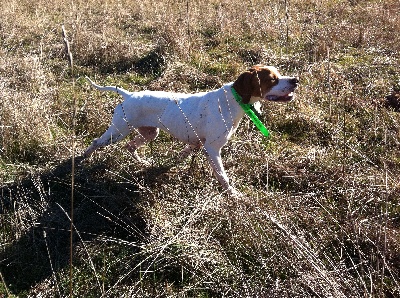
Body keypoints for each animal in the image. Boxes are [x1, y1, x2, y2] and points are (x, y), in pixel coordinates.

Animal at [83, 65, 296, 193]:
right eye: (272, 79)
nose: (296, 80)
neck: (232, 101)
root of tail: (129, 95)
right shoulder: (212, 149)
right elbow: (223, 176)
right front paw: (233, 195)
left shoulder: (197, 143)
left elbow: (182, 155)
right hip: (118, 131)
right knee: (96, 142)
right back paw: (83, 158)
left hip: (149, 133)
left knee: (130, 146)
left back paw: (142, 162)